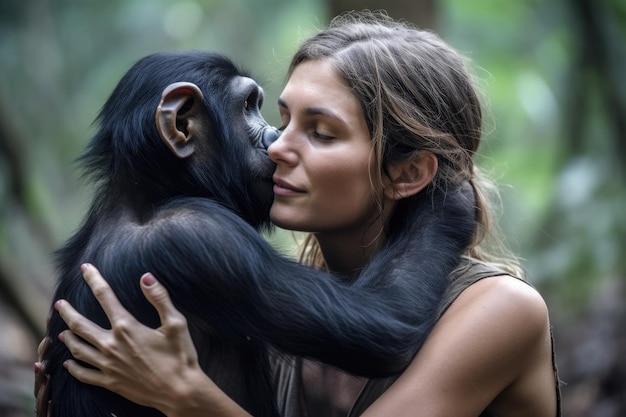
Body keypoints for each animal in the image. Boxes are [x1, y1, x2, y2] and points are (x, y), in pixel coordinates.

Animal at [42, 51, 472, 416]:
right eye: (248, 106)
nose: (275, 137)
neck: (150, 194)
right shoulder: (203, 239)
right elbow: (385, 324)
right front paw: (448, 202)